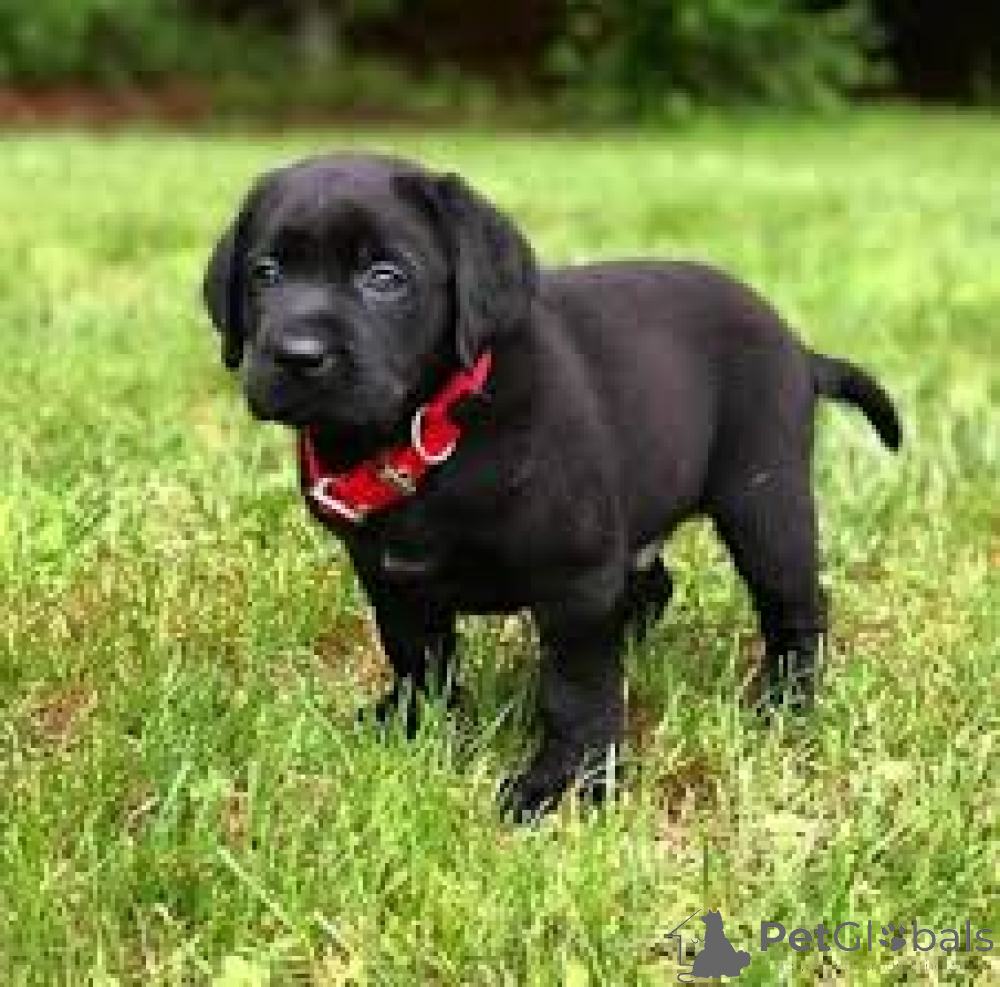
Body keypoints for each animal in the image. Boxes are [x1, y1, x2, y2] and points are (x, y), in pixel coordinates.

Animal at [203, 153, 900, 819]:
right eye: (266, 273)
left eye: (385, 277)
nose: (297, 354)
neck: (427, 429)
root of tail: (800, 348)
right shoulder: (390, 576)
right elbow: (416, 657)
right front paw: (415, 728)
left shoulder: (576, 578)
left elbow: (574, 690)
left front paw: (566, 783)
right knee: (654, 586)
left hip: (763, 502)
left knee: (796, 607)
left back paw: (785, 700)